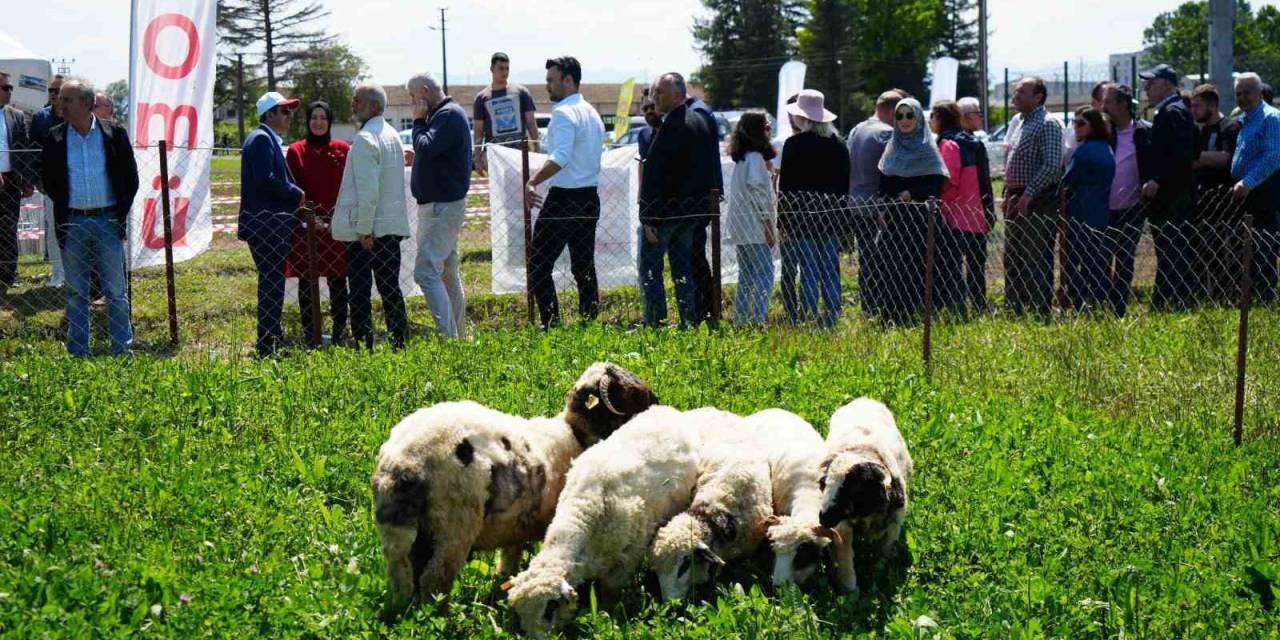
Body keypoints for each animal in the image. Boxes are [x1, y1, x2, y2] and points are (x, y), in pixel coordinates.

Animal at [368, 363, 655, 601]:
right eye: (632, 393)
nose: (658, 404)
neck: (575, 435)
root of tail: (406, 462)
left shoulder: (517, 524)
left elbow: (510, 555)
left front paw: (502, 579)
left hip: (398, 533)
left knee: (403, 576)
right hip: (453, 527)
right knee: (434, 580)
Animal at [501, 407, 727, 637]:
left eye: (549, 608)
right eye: (521, 614)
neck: (582, 516)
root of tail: (665, 410)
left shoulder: (627, 557)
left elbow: (609, 593)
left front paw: (608, 614)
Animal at [819, 396, 911, 591]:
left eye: (855, 490)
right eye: (823, 484)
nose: (823, 518)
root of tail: (864, 399)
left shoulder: (894, 526)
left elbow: (882, 557)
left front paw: (876, 577)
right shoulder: (843, 529)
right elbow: (846, 561)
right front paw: (850, 590)